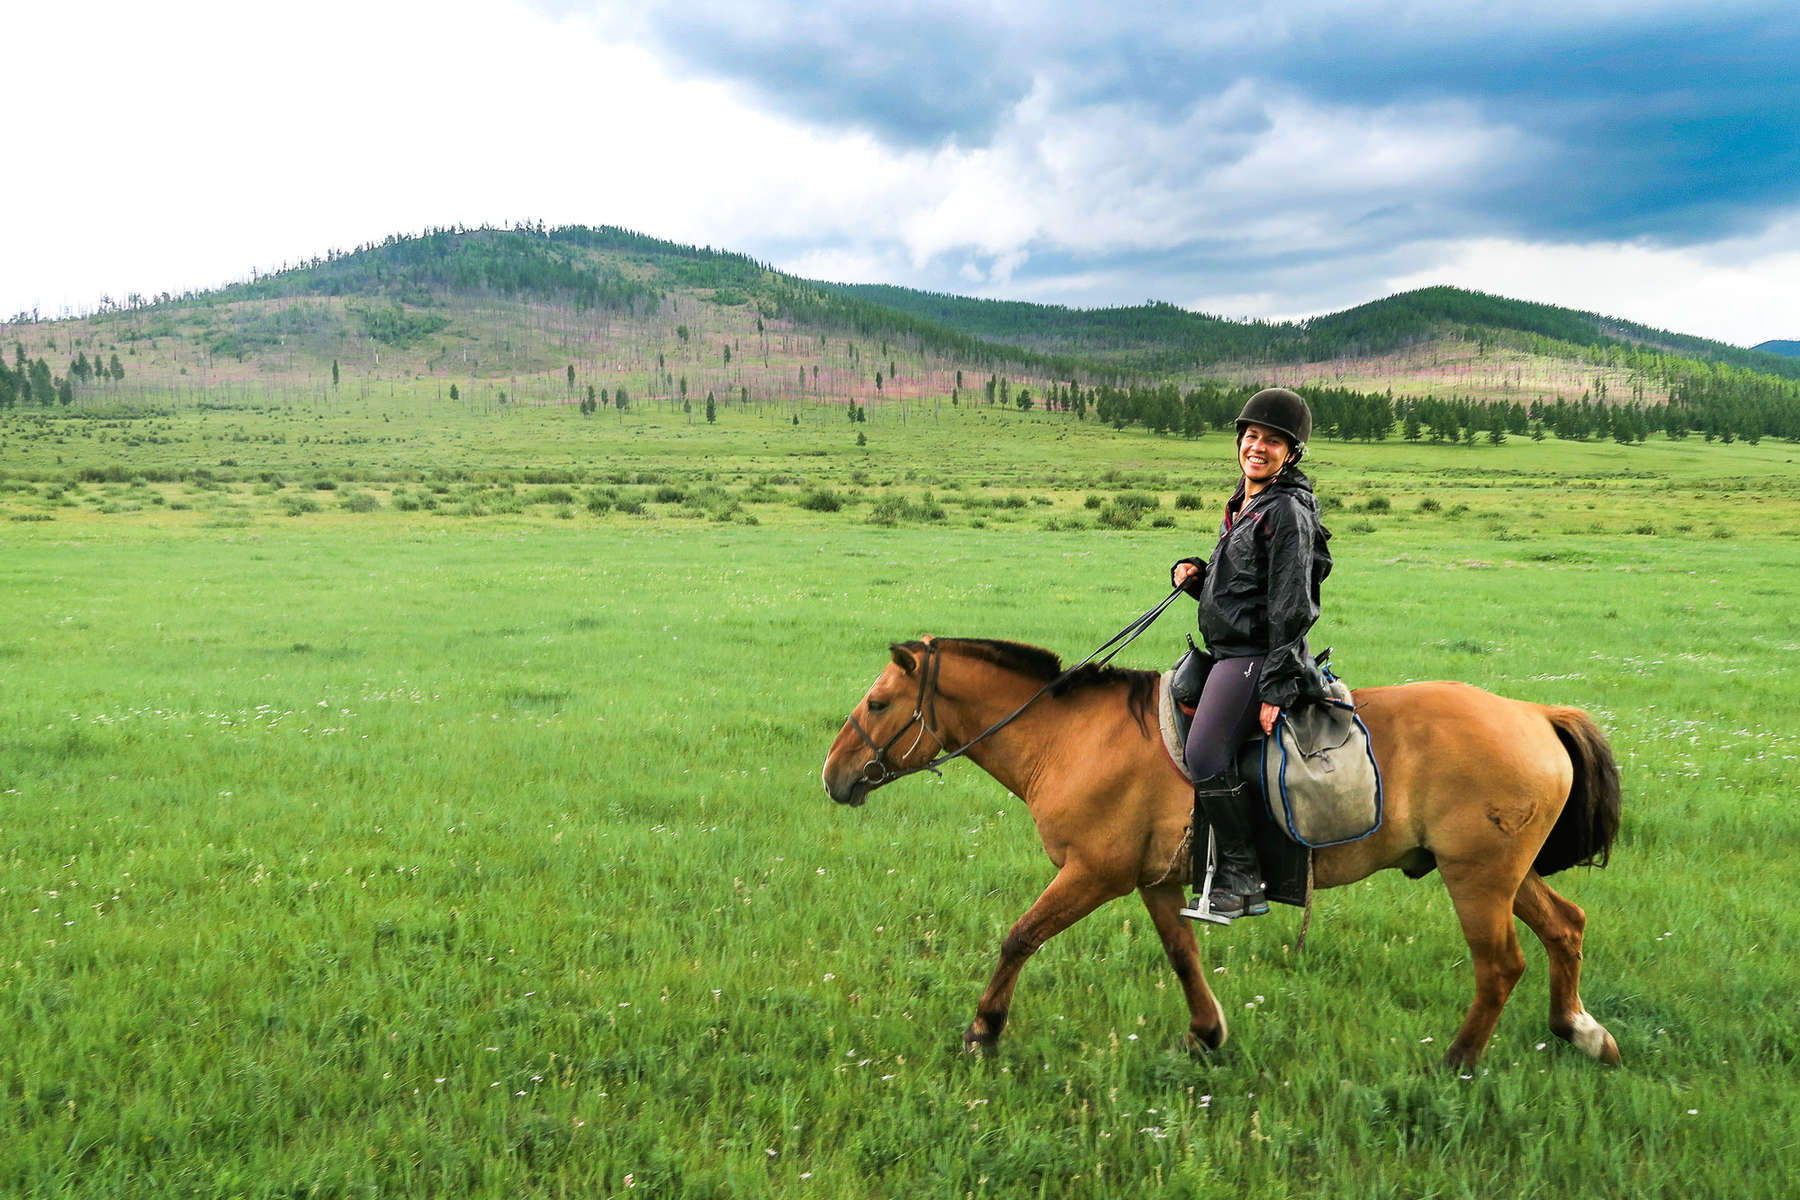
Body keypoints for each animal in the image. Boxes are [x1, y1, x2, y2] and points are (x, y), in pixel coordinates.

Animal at [824, 636, 1627, 1072]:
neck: (1070, 738)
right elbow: (1183, 956)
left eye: (878, 704)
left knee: (1501, 965)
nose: (833, 775)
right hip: (1504, 874)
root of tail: (1535, 714)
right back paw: (1580, 1031)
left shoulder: (1093, 874)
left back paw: (1459, 1060)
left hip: (1478, 879)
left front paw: (984, 1032)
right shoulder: (1153, 880)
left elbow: (1019, 938)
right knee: (1566, 926)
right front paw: (1208, 1034)